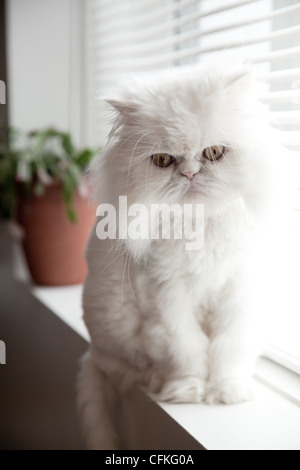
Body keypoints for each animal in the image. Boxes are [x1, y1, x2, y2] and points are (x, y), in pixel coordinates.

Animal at [77, 64, 278, 450]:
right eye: (163, 160)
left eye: (213, 152)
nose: (189, 174)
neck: (201, 226)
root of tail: (92, 352)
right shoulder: (168, 296)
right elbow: (187, 349)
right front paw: (188, 392)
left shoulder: (238, 293)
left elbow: (228, 348)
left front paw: (227, 393)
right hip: (115, 330)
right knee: (131, 369)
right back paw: (159, 384)